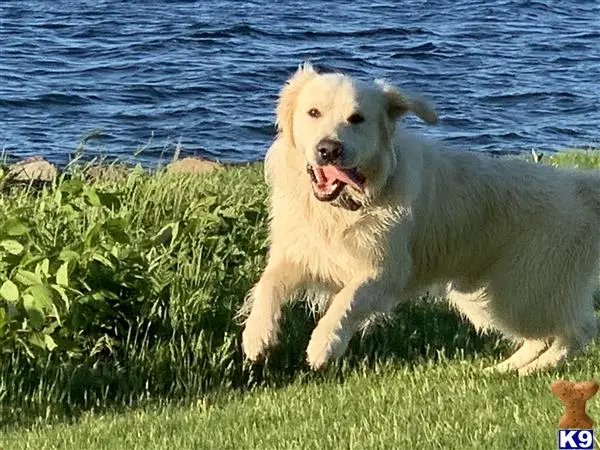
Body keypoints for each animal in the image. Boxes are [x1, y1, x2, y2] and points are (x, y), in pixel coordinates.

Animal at [240, 61, 600, 374]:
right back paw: (505, 369)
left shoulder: (385, 271)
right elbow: (268, 283)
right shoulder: (301, 253)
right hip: (483, 296)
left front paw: (323, 345)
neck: (346, 204)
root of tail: (580, 186)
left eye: (357, 118)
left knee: (579, 329)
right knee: (543, 336)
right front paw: (256, 337)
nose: (329, 149)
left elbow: (346, 301)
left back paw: (534, 369)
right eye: (313, 112)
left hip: (522, 290)